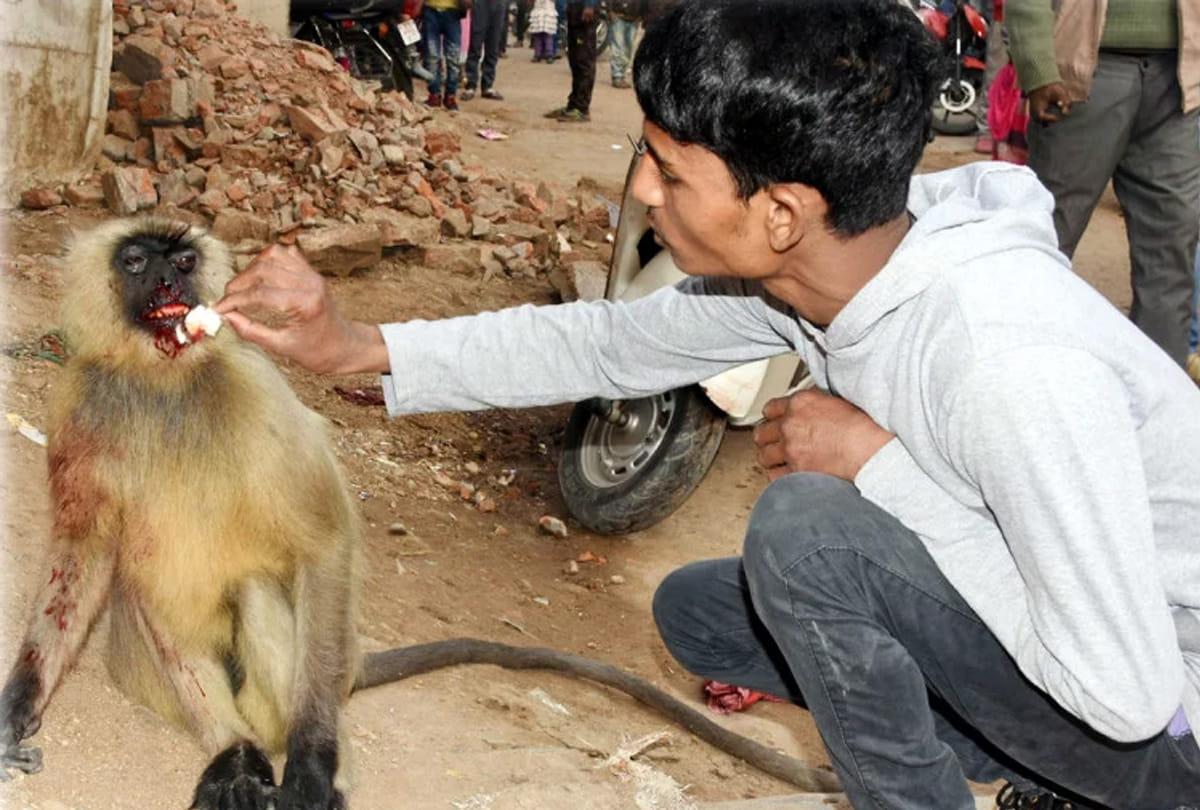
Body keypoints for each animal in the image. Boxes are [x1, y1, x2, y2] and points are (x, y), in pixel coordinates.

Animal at [0, 217, 840, 809]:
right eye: (135, 262)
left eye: (180, 261)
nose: (168, 279)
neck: (163, 383)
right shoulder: (82, 400)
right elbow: (82, 552)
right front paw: (18, 706)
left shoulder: (253, 384)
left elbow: (324, 543)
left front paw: (311, 767)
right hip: (143, 675)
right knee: (143, 598)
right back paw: (234, 760)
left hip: (297, 676)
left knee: (263, 591)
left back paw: (285, 758)